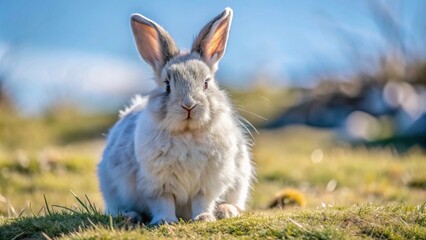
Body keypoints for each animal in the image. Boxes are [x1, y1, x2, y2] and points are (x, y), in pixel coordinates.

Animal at [97, 7, 253, 225]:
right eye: (167, 85)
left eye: (206, 83)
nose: (188, 105)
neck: (187, 133)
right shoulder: (157, 184)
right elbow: (164, 201)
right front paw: (166, 221)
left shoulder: (207, 183)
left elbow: (202, 201)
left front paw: (204, 218)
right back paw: (130, 216)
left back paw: (226, 210)